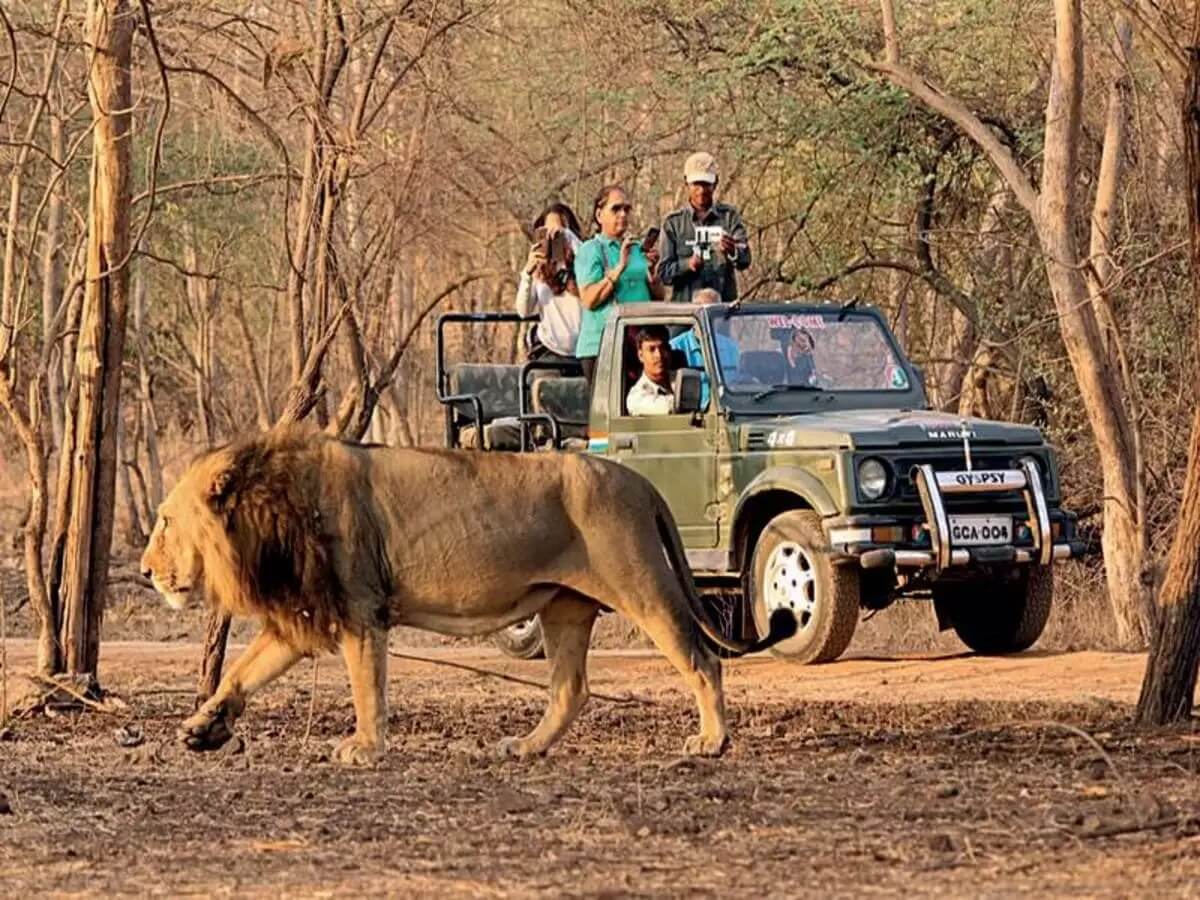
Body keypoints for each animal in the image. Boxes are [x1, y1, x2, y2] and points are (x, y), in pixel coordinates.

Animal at [140, 427, 792, 763]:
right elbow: (240, 672)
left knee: (701, 660)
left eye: (166, 521)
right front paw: (203, 727)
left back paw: (712, 742)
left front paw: (365, 748)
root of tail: (636, 478)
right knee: (570, 689)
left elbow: (367, 687)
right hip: (564, 607)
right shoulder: (304, 612)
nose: (145, 572)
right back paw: (525, 748)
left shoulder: (360, 609)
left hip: (642, 585)